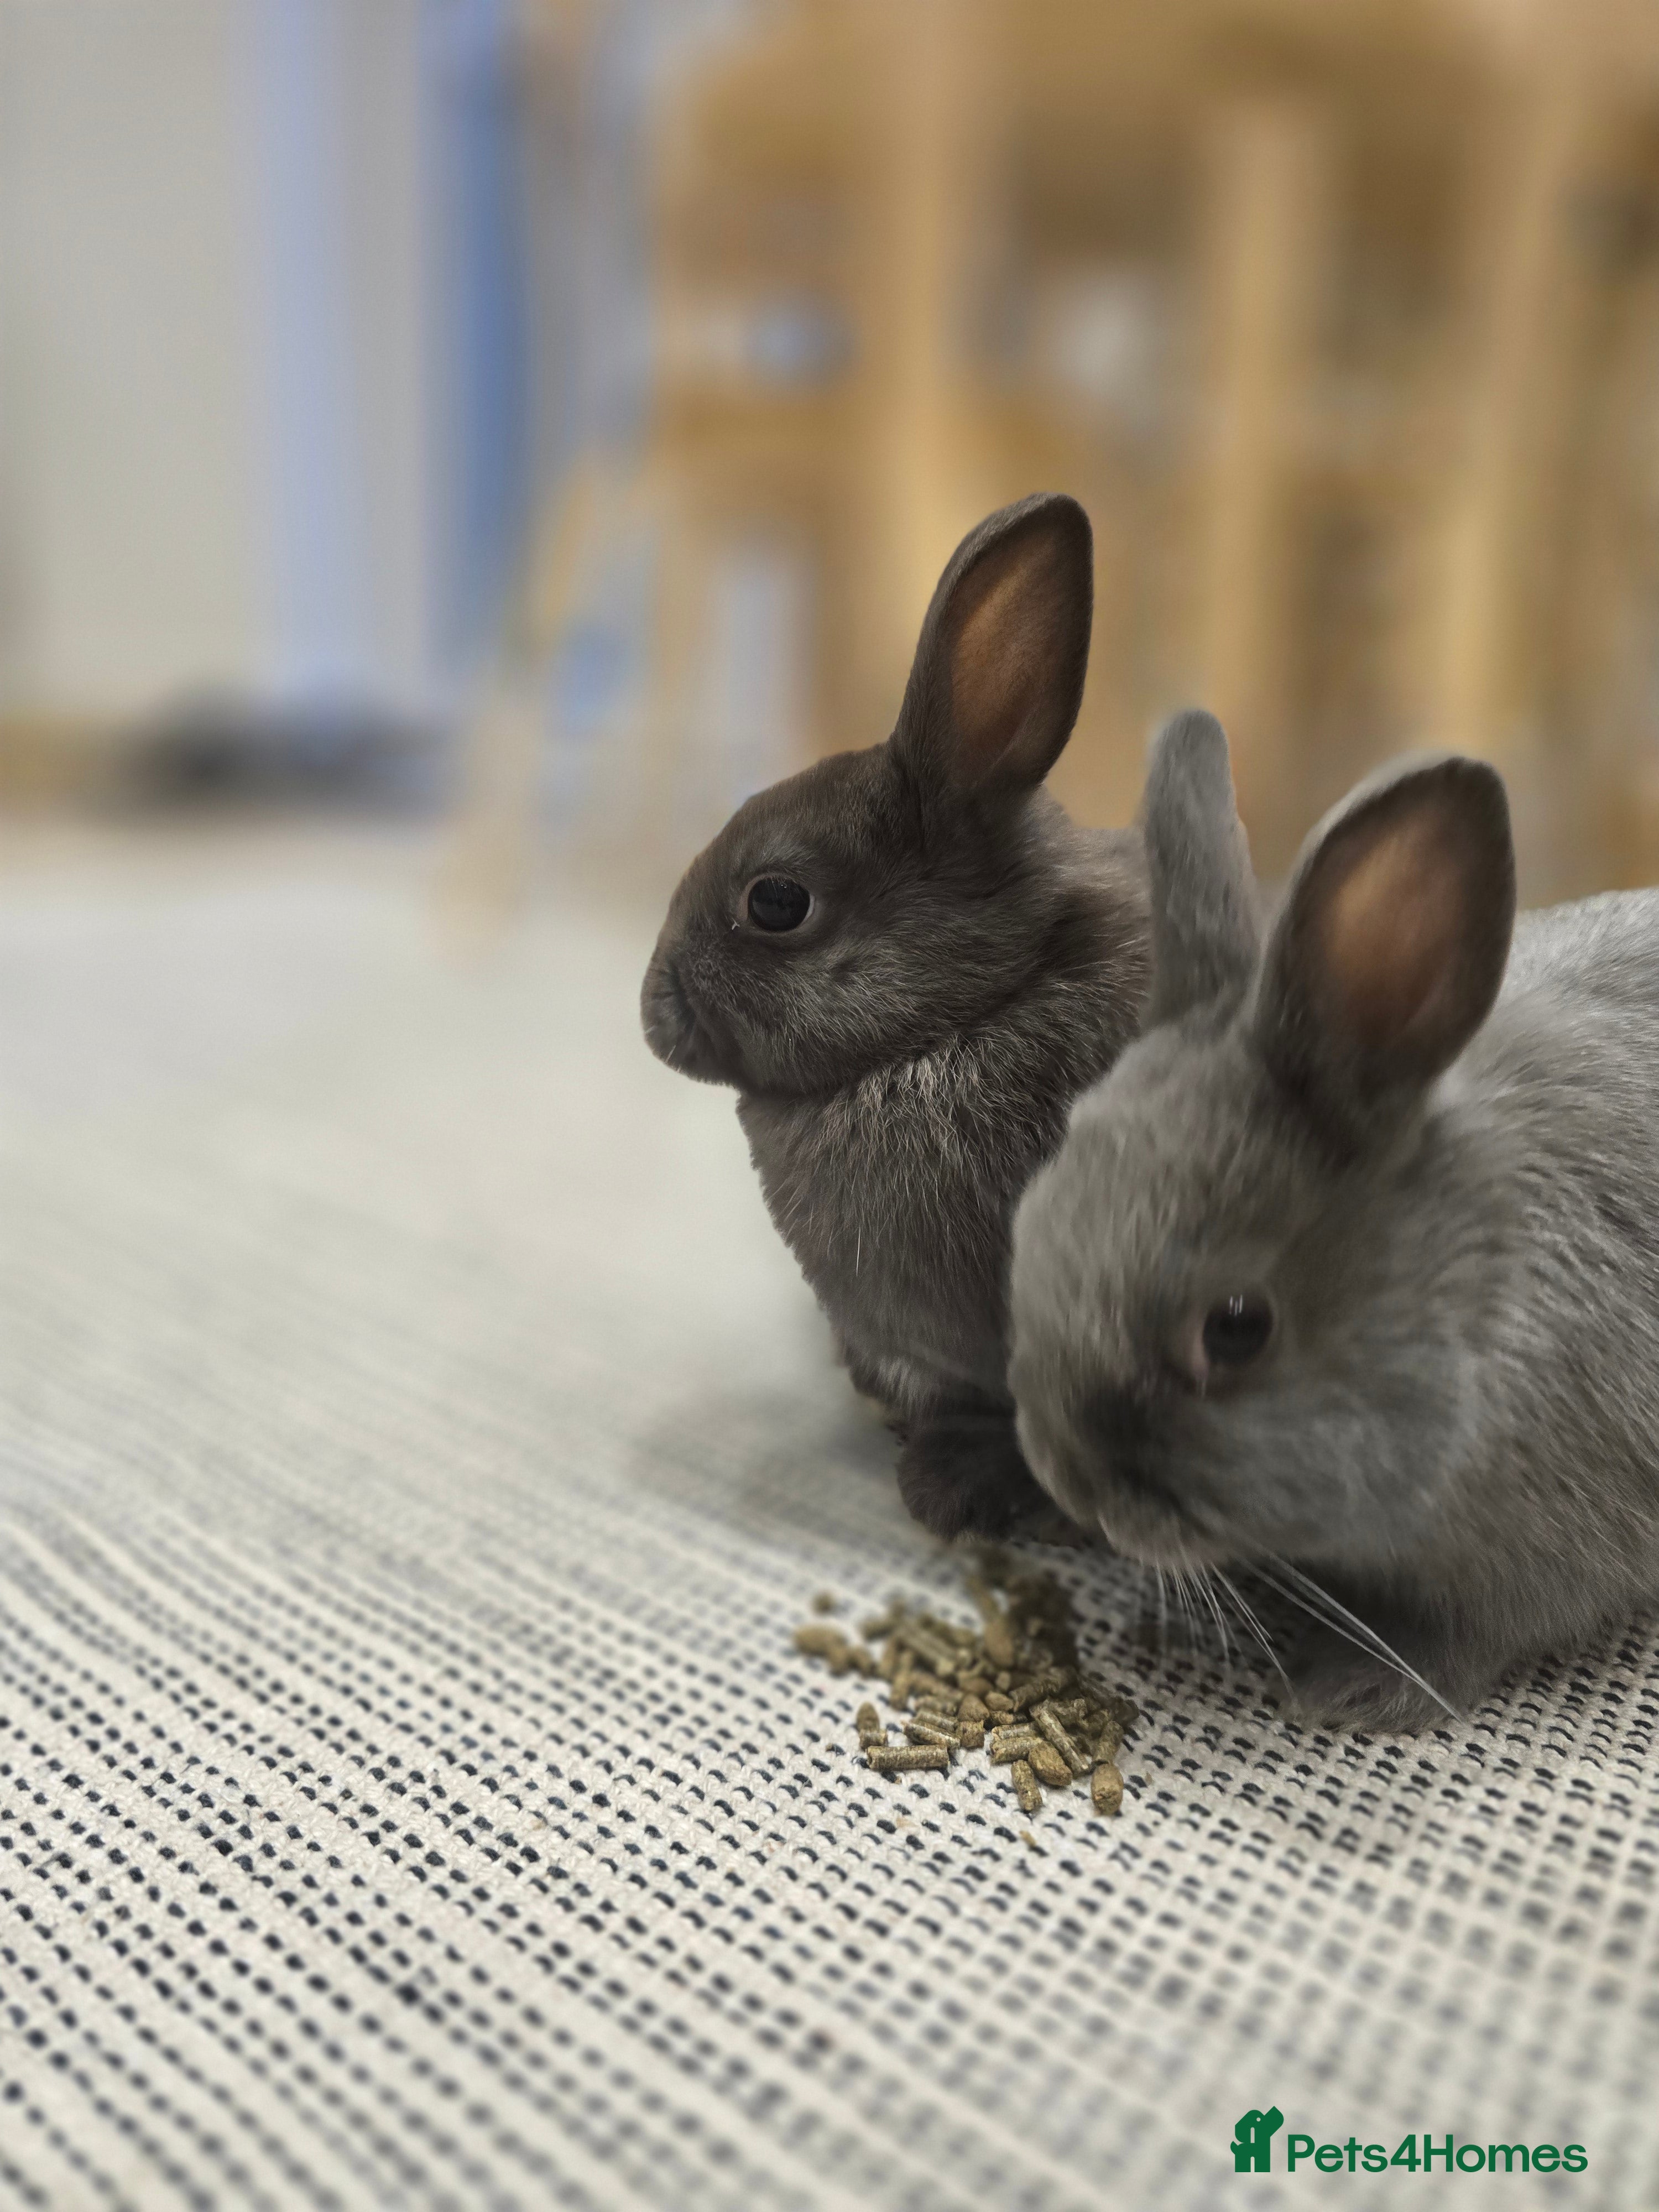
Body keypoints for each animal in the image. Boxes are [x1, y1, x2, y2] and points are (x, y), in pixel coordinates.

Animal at [1009, 706, 1659, 1729]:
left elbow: (1469, 1643)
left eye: (1236, 1330)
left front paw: (1354, 1687)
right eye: (1032, 1216)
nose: (1069, 1481)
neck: (1471, 1305)